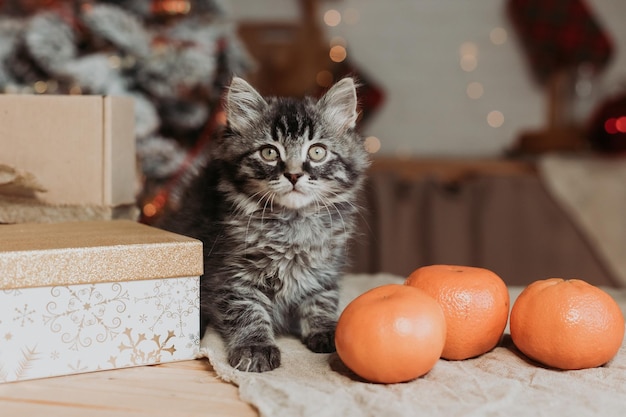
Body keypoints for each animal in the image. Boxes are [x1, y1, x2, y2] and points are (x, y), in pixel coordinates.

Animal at [158, 76, 368, 372]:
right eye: (269, 152)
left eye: (317, 151)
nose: (294, 175)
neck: (293, 224)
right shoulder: (232, 277)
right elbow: (248, 313)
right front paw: (255, 348)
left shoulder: (324, 269)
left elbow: (321, 300)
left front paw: (328, 330)